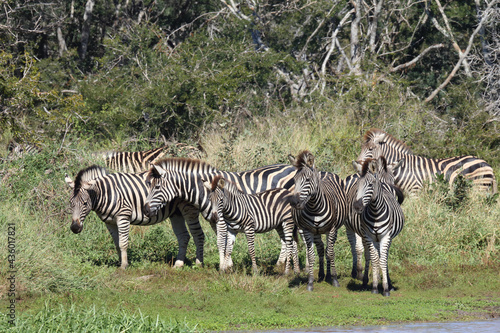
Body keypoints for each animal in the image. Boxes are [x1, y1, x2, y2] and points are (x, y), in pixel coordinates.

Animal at [65, 165, 205, 268]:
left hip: (189, 209)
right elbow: (117, 243)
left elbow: (123, 243)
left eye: (85, 203)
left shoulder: (123, 217)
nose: (75, 228)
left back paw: (198, 264)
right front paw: (120, 262)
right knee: (184, 236)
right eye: (71, 203)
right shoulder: (109, 222)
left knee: (198, 234)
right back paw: (178, 264)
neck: (106, 193)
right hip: (176, 213)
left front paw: (124, 266)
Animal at [142, 158, 300, 270]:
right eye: (148, 185)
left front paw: (223, 265)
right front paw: (227, 263)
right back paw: (281, 264)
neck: (203, 191)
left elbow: (220, 241)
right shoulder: (214, 219)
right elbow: (224, 241)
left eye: (156, 187)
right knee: (286, 239)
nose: (145, 210)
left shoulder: (222, 219)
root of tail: (292, 167)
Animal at [286, 150, 348, 290]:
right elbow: (311, 255)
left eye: (308, 180)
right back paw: (321, 275)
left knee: (328, 249)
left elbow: (330, 253)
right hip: (316, 232)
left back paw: (329, 275)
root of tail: (324, 172)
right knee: (320, 248)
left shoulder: (332, 229)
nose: (294, 202)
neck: (315, 207)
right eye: (294, 180)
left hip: (333, 230)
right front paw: (310, 282)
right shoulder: (307, 230)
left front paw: (334, 279)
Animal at [348, 156, 406, 296]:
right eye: (358, 185)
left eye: (370, 184)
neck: (375, 212)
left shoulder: (386, 236)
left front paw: (386, 287)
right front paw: (374, 286)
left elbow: (383, 260)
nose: (357, 207)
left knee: (383, 256)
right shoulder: (368, 236)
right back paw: (365, 280)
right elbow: (374, 259)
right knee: (365, 252)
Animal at [358, 127, 498, 195]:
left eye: (370, 149)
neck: (402, 168)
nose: (358, 163)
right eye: (361, 148)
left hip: (478, 188)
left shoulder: (415, 191)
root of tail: (488, 165)